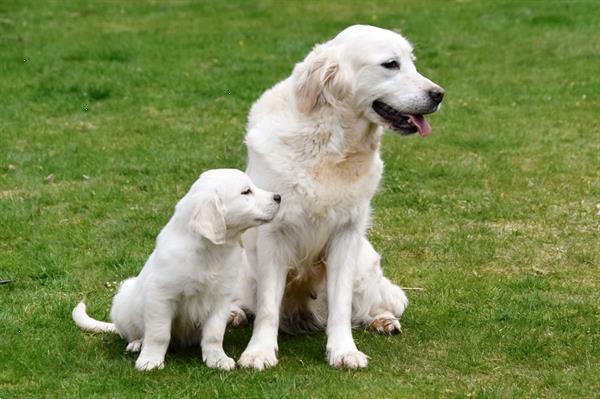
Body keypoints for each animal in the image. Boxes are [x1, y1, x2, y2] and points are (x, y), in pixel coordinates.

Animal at [72, 169, 282, 372]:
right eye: (246, 191)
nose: (279, 197)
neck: (211, 251)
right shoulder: (161, 296)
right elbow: (159, 334)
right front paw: (150, 361)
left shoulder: (221, 298)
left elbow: (214, 334)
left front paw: (217, 359)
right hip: (124, 303)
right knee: (134, 332)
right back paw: (137, 344)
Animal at [237, 24, 442, 368]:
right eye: (391, 64)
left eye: (412, 63)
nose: (439, 94)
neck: (332, 144)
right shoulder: (273, 234)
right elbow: (266, 306)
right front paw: (259, 352)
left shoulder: (346, 234)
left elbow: (342, 305)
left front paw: (344, 351)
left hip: (365, 261)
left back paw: (383, 320)